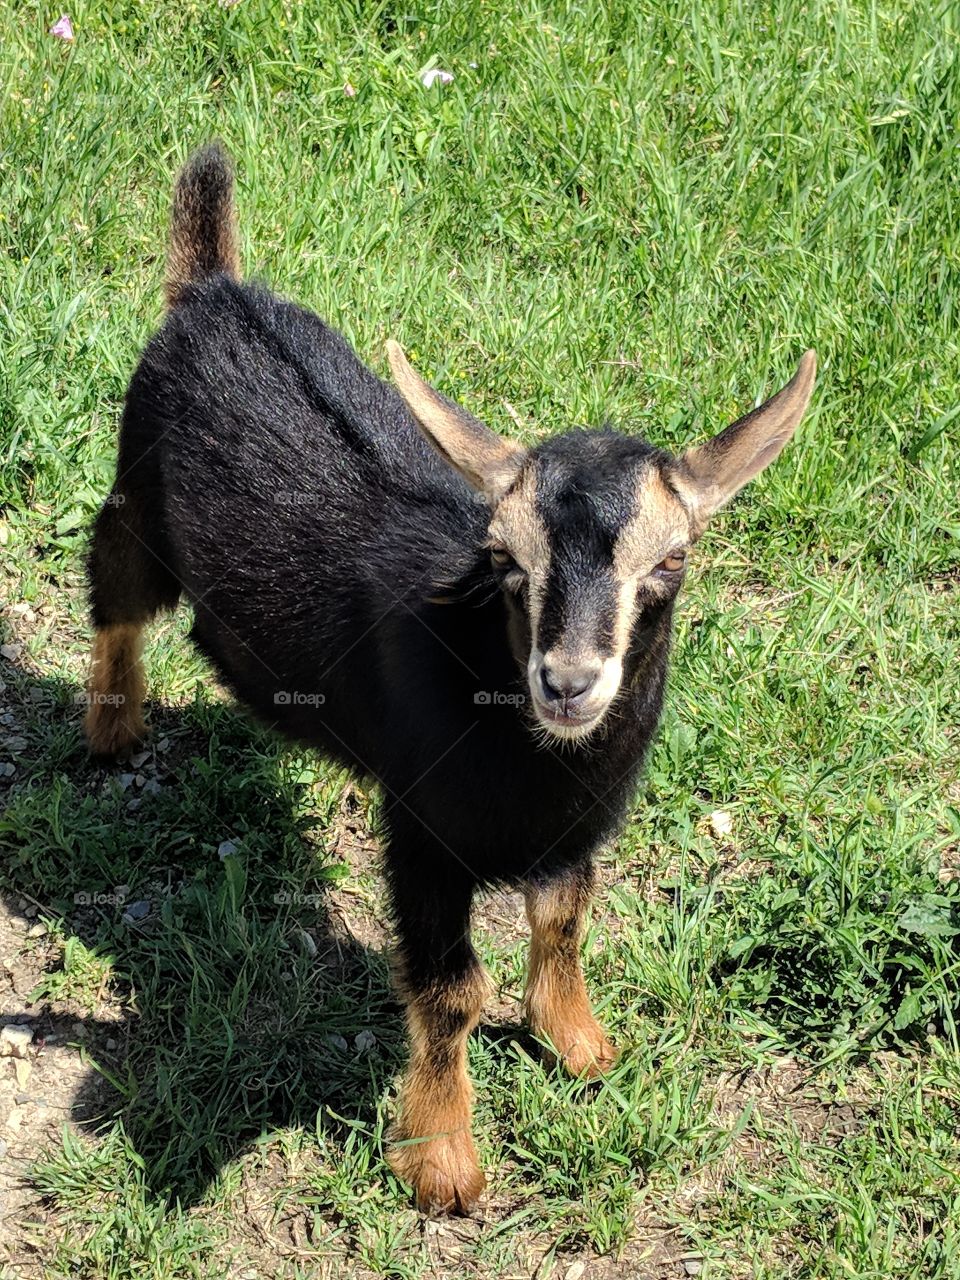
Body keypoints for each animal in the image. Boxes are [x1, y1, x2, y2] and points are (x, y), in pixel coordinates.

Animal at [84, 145, 819, 1213]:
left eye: (673, 559)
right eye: (505, 558)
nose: (567, 681)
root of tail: (211, 289)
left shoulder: (572, 826)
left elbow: (562, 916)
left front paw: (579, 1044)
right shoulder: (421, 828)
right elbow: (450, 988)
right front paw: (440, 1160)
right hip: (136, 499)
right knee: (114, 588)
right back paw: (112, 730)